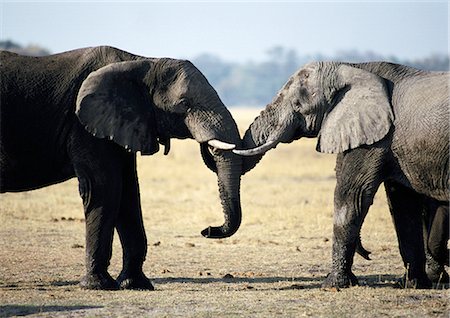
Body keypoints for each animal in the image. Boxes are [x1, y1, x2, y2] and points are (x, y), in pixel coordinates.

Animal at [0, 45, 244, 290]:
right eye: (184, 104)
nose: (207, 230)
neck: (142, 62)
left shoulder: (124, 124)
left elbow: (128, 192)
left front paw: (135, 284)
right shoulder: (84, 126)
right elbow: (104, 187)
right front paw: (98, 285)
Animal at [234, 61, 448, 288]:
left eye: (298, 105)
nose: (369, 254)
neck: (351, 67)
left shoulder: (373, 138)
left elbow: (352, 196)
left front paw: (333, 285)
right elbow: (403, 205)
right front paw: (411, 284)